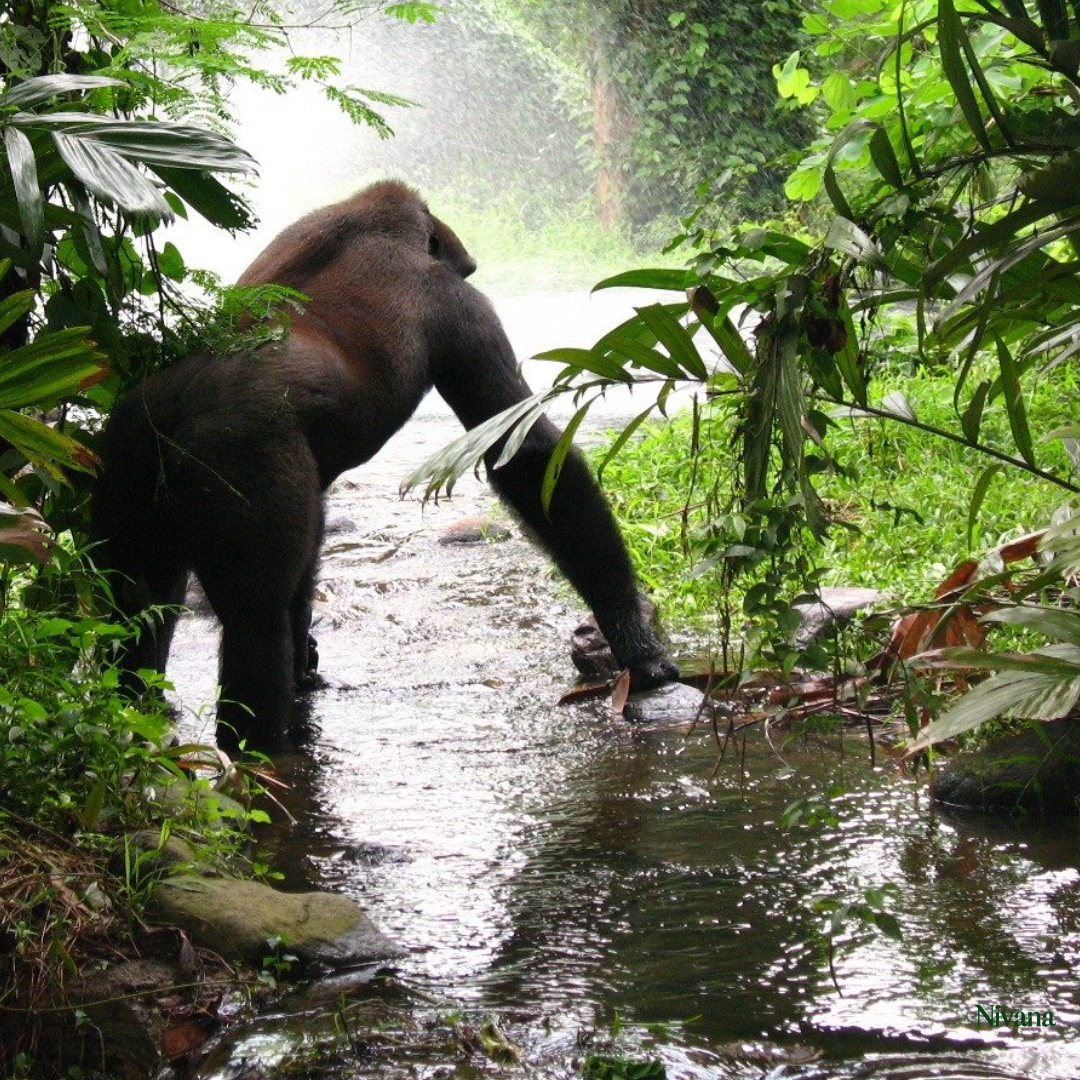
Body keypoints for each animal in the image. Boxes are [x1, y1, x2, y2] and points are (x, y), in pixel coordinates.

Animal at [92, 180, 678, 751]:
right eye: (465, 271)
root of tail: (173, 408)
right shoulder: (459, 304)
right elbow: (528, 455)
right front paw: (634, 639)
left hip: (121, 457)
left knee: (136, 602)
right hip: (237, 453)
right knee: (253, 622)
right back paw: (258, 747)